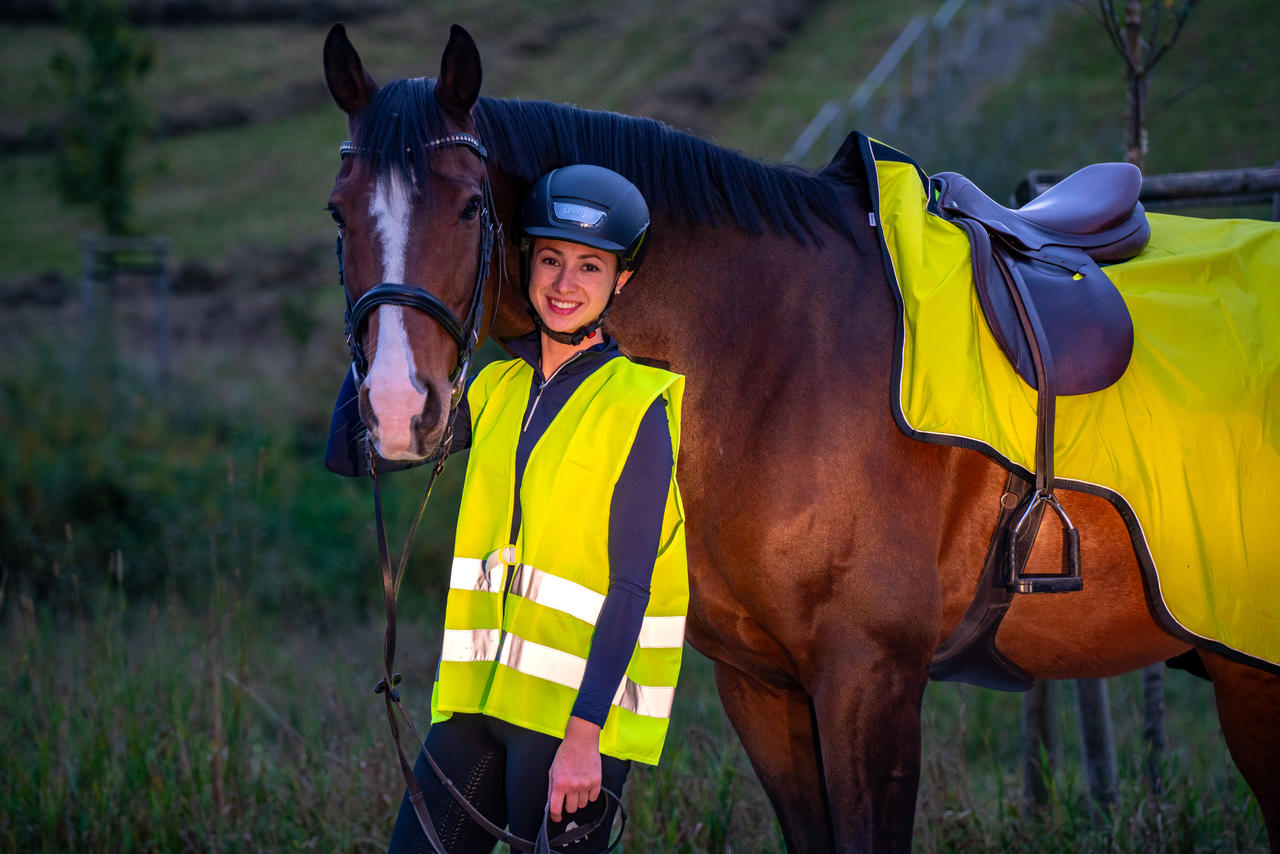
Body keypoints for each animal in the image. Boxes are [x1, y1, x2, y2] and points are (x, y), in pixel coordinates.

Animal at [322, 23, 1280, 850]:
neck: (768, 355)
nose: (400, 408)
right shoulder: (763, 686)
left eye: (469, 206)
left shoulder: (870, 683)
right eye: (338, 213)